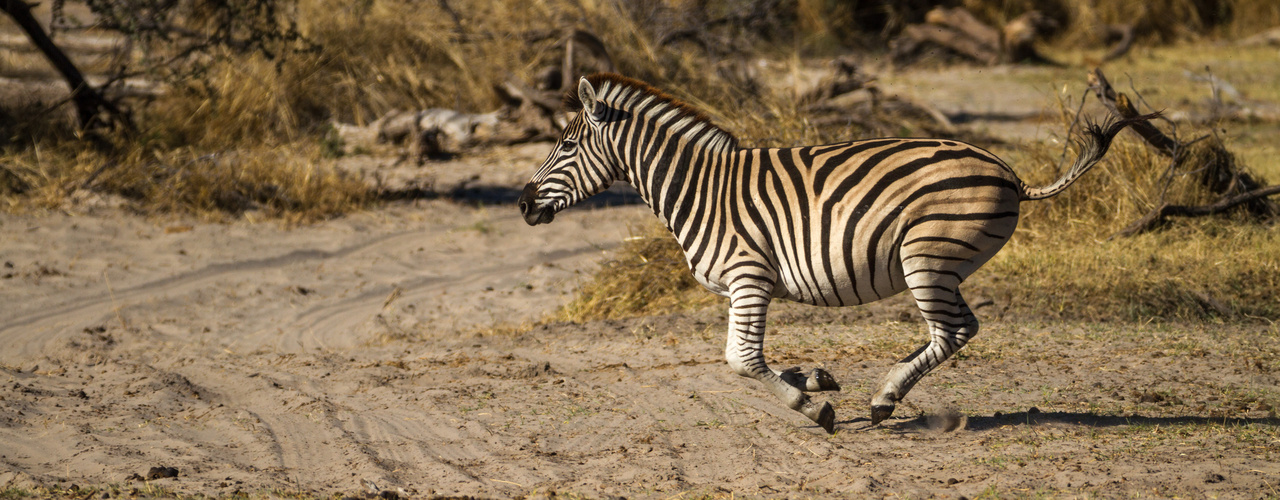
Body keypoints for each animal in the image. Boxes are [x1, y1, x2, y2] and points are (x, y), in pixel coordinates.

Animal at [519, 73, 1152, 434]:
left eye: (567, 146)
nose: (523, 203)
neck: (700, 190)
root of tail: (1008, 172)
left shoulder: (749, 276)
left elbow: (741, 360)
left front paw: (814, 408)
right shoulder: (747, 287)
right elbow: (749, 358)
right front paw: (815, 379)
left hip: (925, 257)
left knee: (955, 331)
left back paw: (885, 398)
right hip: (941, 265)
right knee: (952, 331)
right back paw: (882, 395)